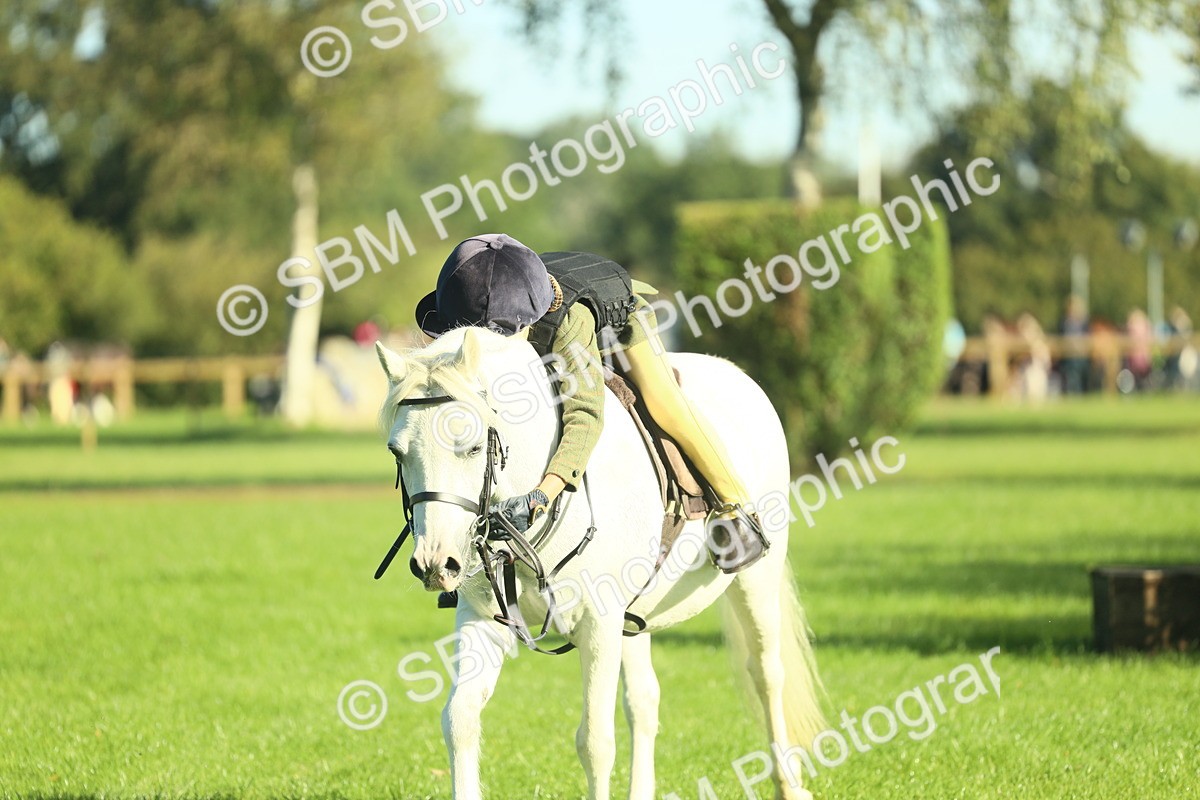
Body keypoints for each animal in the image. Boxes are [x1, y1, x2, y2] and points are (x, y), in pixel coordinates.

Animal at [375, 325, 825, 800]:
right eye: (397, 452)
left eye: (474, 446)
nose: (434, 564)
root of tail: (739, 376)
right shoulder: (484, 620)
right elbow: (459, 719)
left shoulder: (599, 623)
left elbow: (594, 741)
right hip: (636, 617)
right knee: (644, 700)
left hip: (755, 580)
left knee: (766, 674)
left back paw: (790, 784)